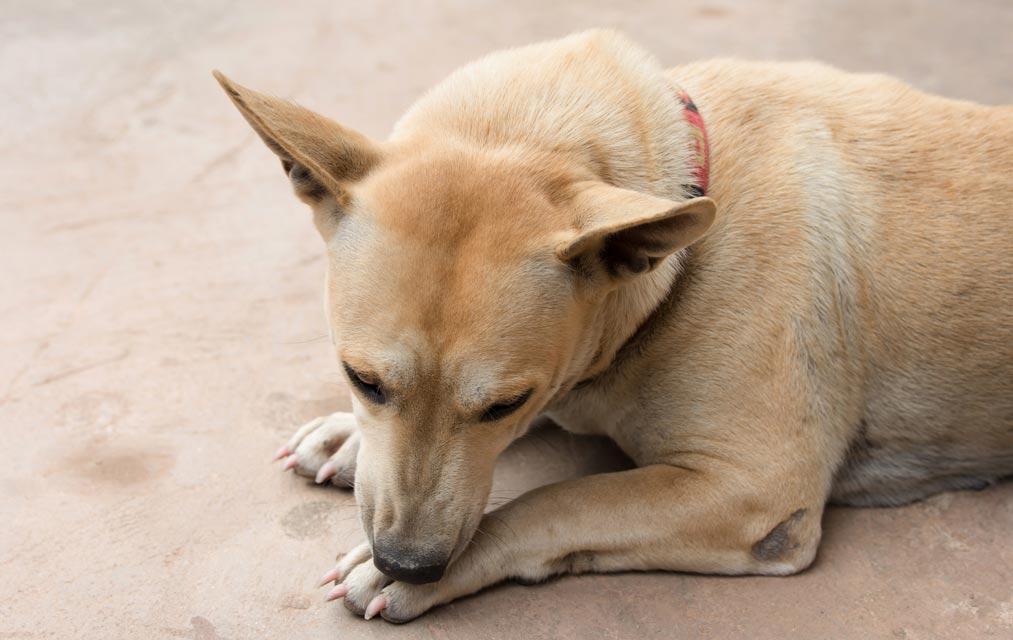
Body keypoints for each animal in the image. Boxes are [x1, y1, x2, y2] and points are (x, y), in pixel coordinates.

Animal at [211, 28, 1004, 619]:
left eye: (505, 403)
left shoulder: (754, 489)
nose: (408, 561)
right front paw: (347, 437)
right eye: (361, 379)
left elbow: (559, 500)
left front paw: (423, 572)